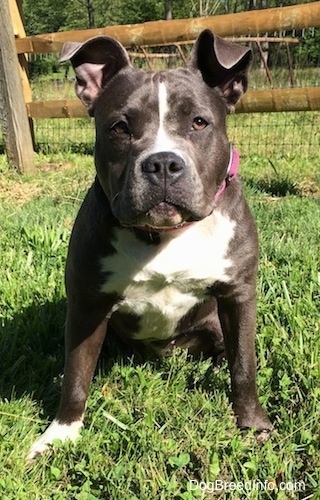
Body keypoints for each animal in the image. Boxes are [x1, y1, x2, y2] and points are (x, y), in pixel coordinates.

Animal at [28, 30, 272, 460]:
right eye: (120, 127)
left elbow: (244, 364)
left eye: (198, 122)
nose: (162, 163)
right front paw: (59, 434)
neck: (165, 235)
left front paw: (252, 424)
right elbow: (76, 374)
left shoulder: (238, 295)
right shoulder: (88, 305)